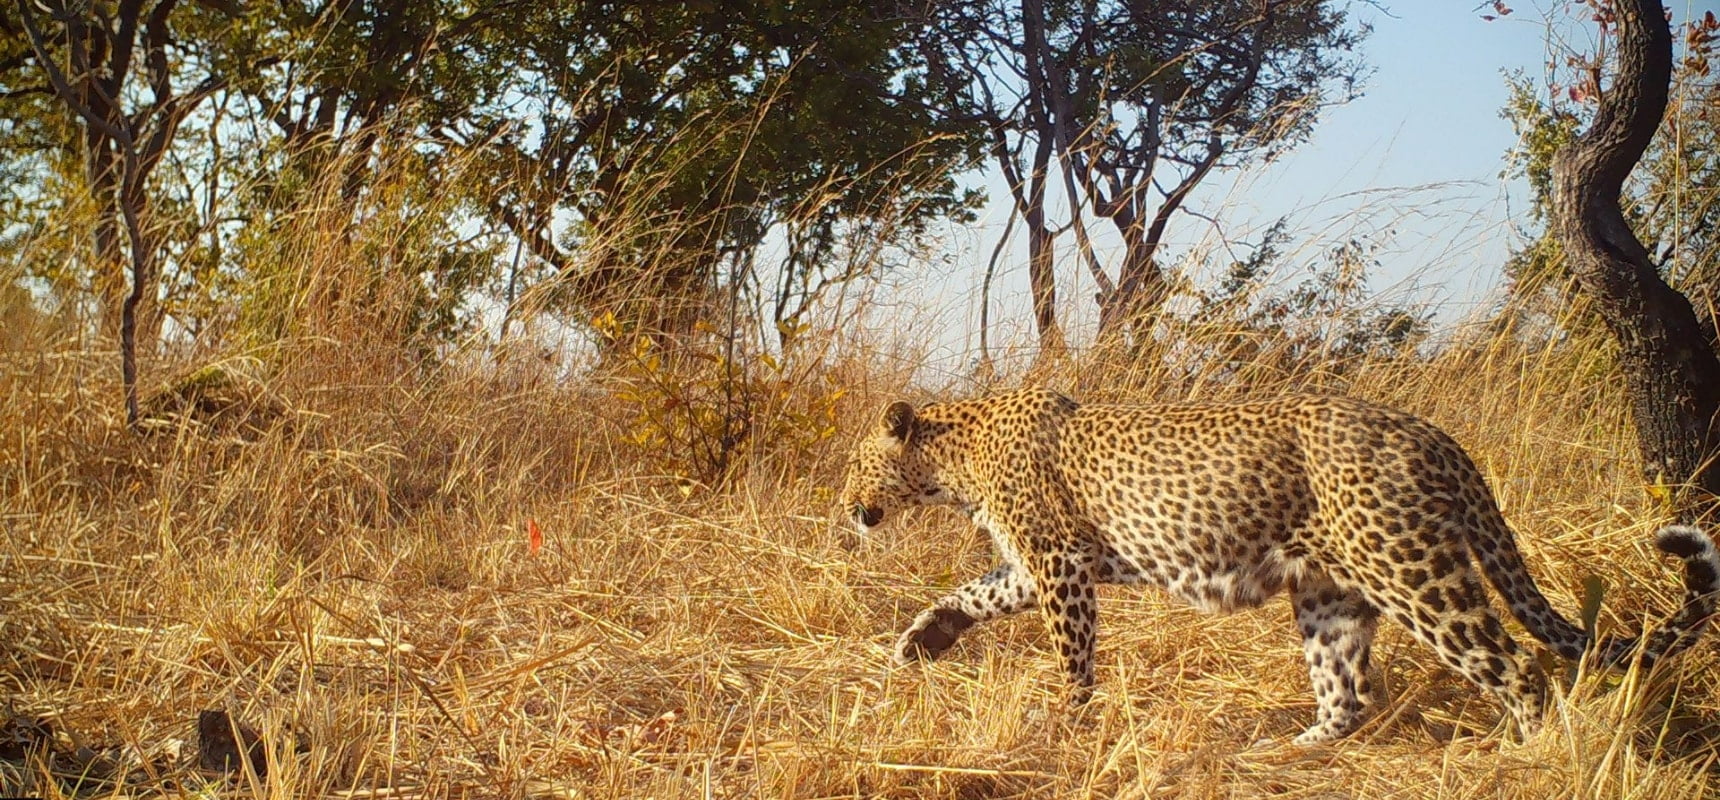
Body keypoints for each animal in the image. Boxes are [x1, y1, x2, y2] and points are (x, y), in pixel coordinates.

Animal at [835, 387, 1720, 743]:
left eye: (852, 466)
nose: (846, 507)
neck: (954, 459)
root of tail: (1437, 436)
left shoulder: (1059, 563)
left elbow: (1072, 653)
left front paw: (1068, 717)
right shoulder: (1034, 565)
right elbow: (973, 593)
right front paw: (923, 639)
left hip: (1414, 572)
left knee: (1515, 665)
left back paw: (1532, 754)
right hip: (1331, 595)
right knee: (1347, 694)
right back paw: (1287, 749)